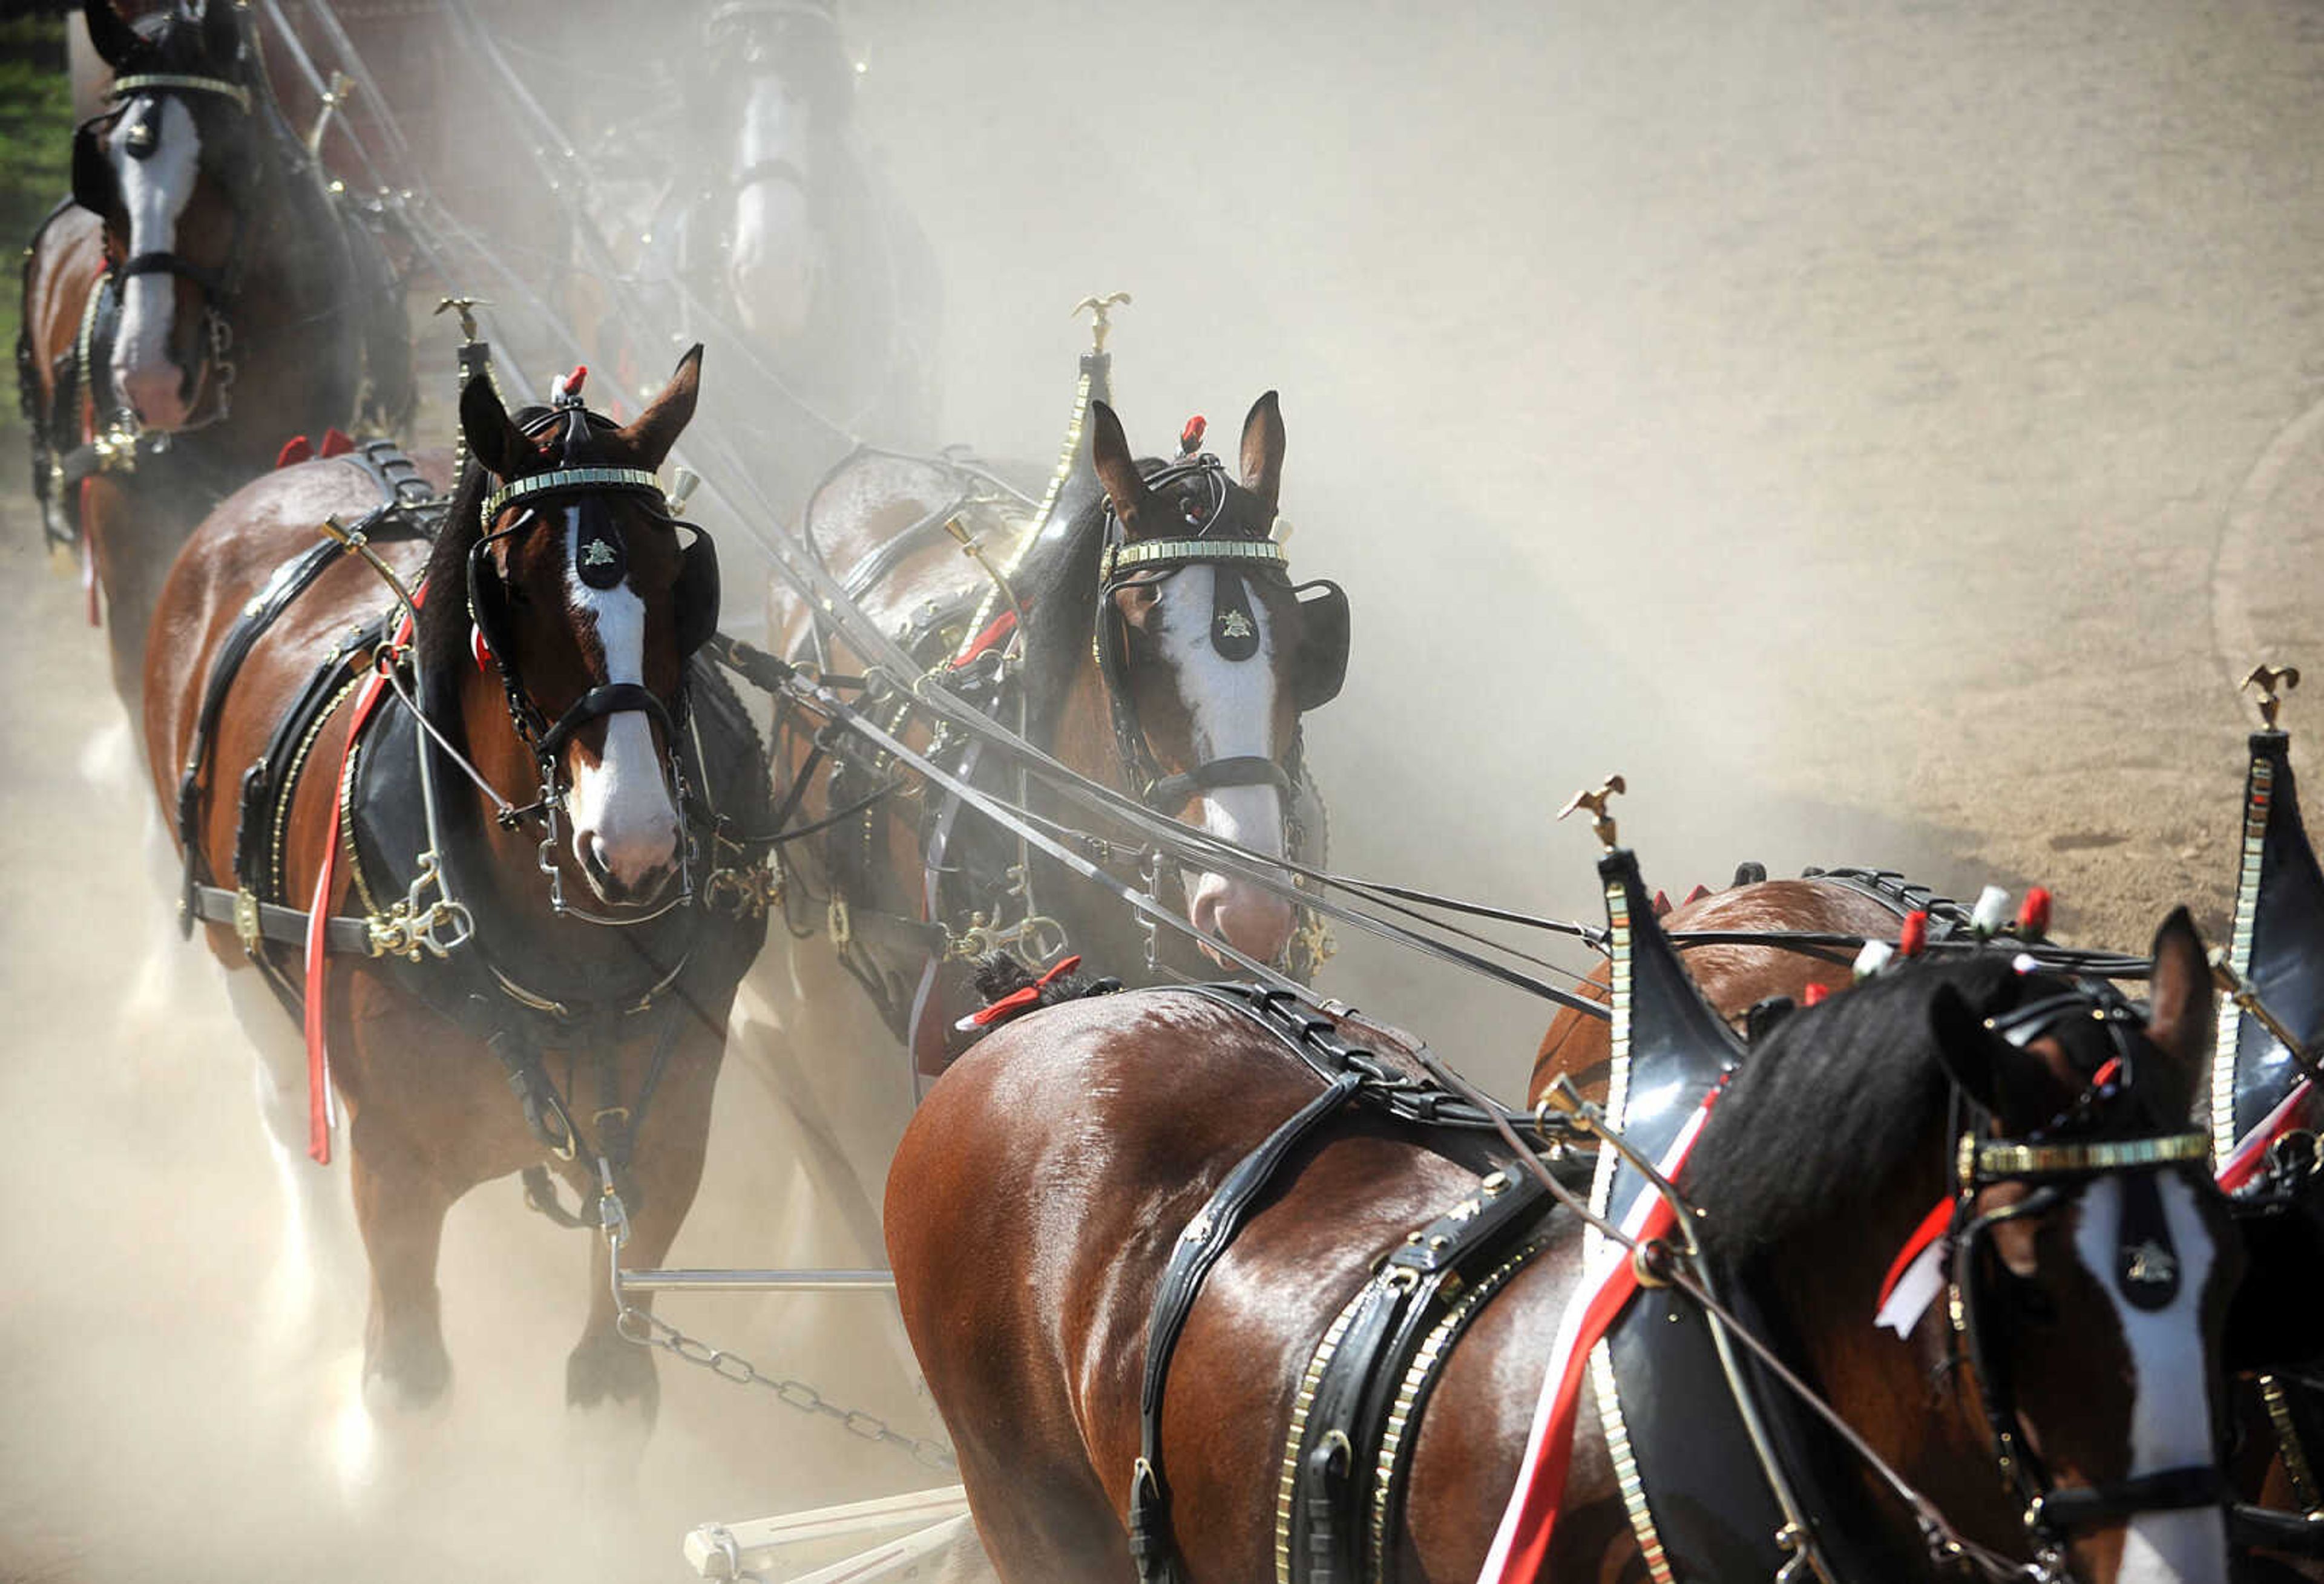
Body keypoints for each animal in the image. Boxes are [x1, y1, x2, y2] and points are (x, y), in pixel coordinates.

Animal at [145, 350, 771, 1421]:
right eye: (509, 591)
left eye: (681, 576)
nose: (635, 847)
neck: (570, 967)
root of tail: (315, 458)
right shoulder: (394, 1171)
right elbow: (405, 1384)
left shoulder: (662, 1158)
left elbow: (612, 1382)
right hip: (238, 945)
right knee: (284, 1098)